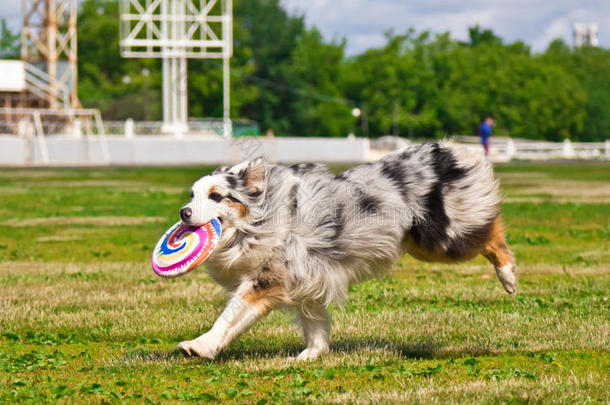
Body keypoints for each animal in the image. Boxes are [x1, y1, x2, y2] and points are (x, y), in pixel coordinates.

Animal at [175, 140, 512, 358]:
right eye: (192, 195)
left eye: (216, 196)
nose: (183, 212)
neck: (256, 223)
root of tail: (444, 151)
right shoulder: (304, 279)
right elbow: (313, 322)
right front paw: (310, 355)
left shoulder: (266, 279)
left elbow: (229, 314)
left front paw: (198, 345)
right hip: (421, 244)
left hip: (441, 238)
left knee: (492, 230)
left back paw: (508, 276)